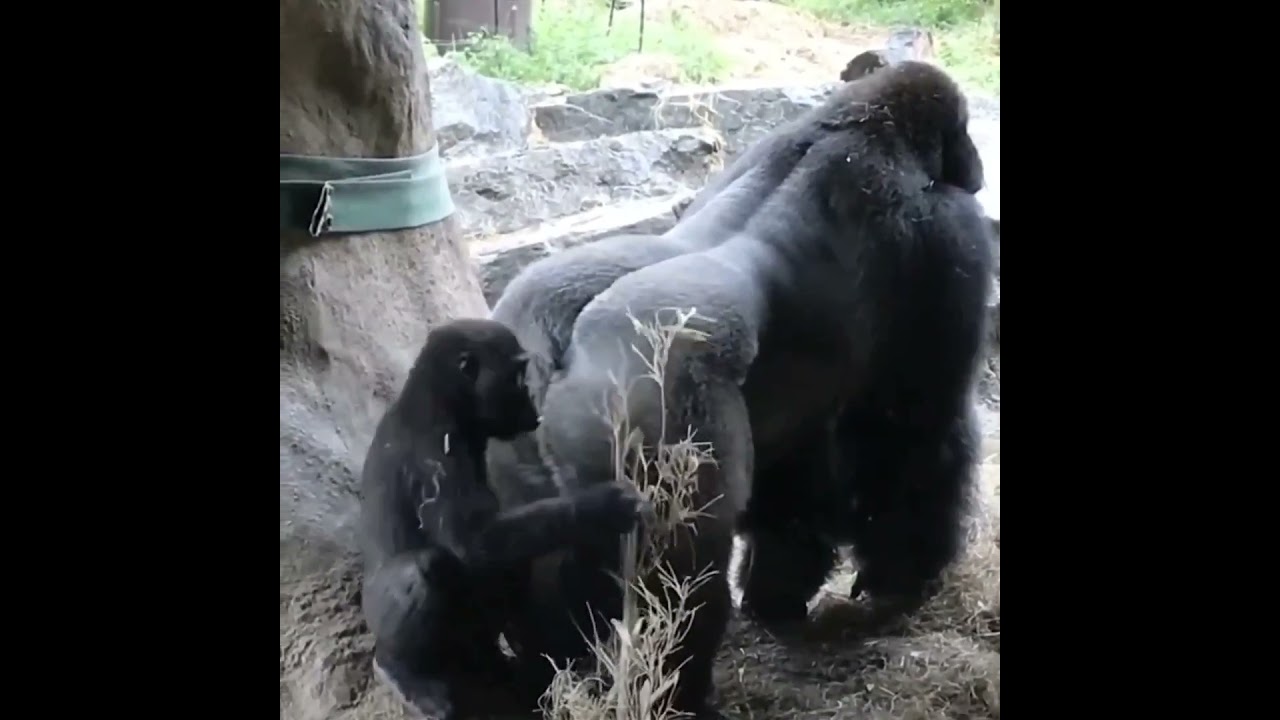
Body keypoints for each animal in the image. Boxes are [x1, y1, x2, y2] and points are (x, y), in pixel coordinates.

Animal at [358, 318, 649, 720]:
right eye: (516, 375)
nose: (531, 398)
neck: (444, 400)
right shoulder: (435, 446)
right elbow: (475, 540)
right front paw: (604, 505)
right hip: (376, 616)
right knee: (424, 569)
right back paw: (401, 671)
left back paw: (488, 661)